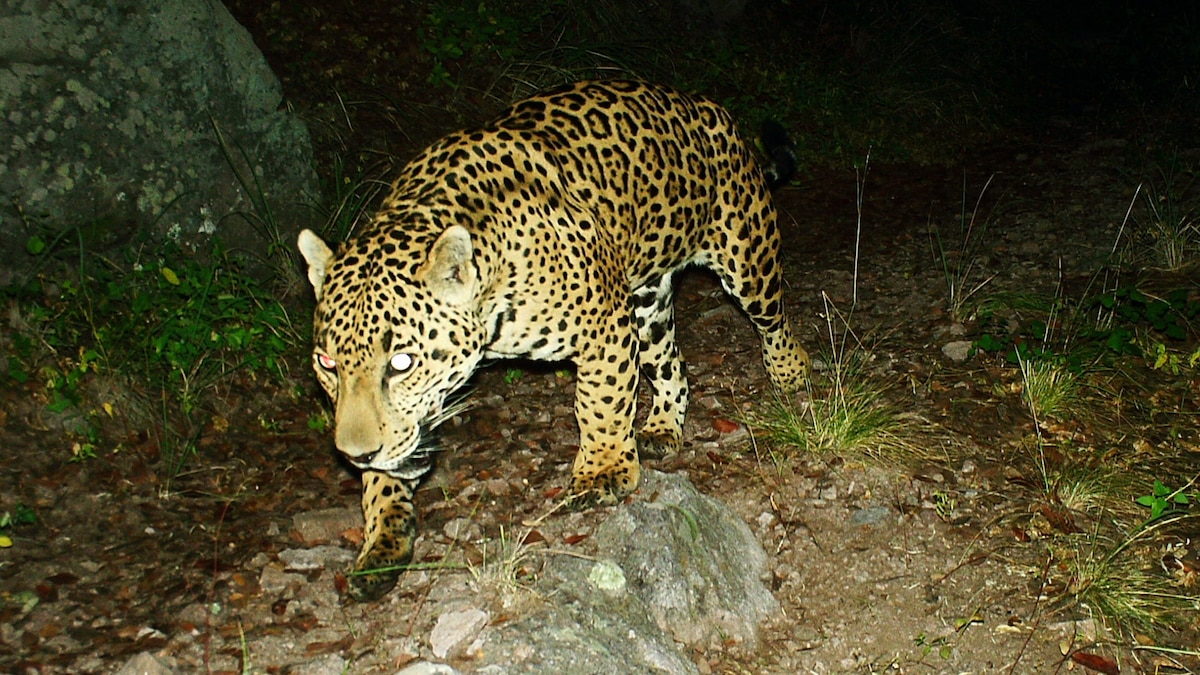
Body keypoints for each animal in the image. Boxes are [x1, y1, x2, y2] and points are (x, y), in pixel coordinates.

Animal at [297, 79, 810, 601]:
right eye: (326, 363)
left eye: (401, 362)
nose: (355, 455)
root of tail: (710, 110)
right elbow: (386, 479)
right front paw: (380, 544)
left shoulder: (604, 324)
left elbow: (600, 402)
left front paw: (603, 472)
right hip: (647, 303)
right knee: (673, 366)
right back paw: (663, 427)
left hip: (747, 261)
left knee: (774, 320)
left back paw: (790, 373)